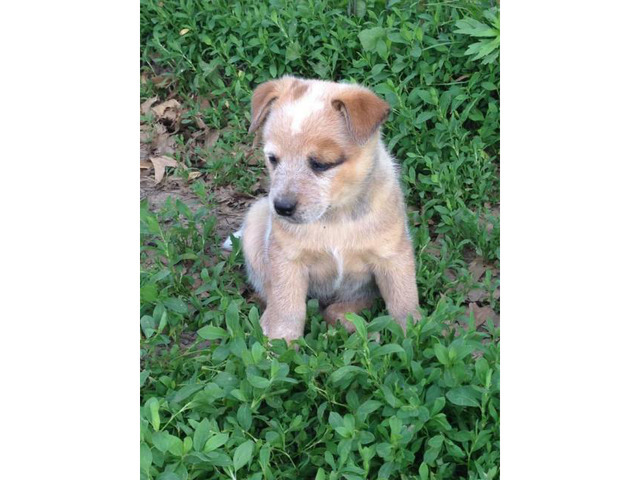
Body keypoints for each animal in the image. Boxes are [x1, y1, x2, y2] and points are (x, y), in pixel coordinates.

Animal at [235, 77, 420, 344]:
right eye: (273, 159)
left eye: (321, 164)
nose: (281, 207)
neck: (335, 217)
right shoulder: (287, 257)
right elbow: (286, 305)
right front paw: (280, 342)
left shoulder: (392, 254)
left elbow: (403, 300)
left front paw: (413, 336)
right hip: (256, 219)